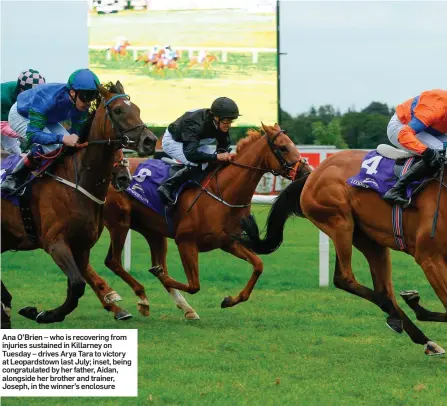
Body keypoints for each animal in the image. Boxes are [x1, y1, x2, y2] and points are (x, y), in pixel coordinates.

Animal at [0, 81, 158, 326]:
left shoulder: (82, 246)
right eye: (118, 110)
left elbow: (77, 284)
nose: (150, 141)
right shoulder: (55, 243)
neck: (77, 183)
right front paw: (43, 314)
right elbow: (76, 285)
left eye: (138, 109)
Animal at [82, 123, 310, 320]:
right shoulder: (186, 242)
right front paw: (159, 276)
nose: (306, 172)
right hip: (119, 223)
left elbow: (258, 265)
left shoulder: (228, 242)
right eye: (283, 147)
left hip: (152, 231)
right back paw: (132, 297)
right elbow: (194, 285)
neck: (223, 191)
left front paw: (230, 300)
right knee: (111, 261)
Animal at [236, 148, 446, 356]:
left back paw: (420, 335)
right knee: (344, 278)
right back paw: (397, 313)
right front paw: (417, 304)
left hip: (369, 238)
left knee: (383, 288)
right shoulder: (429, 258)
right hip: (340, 221)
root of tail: (313, 174)